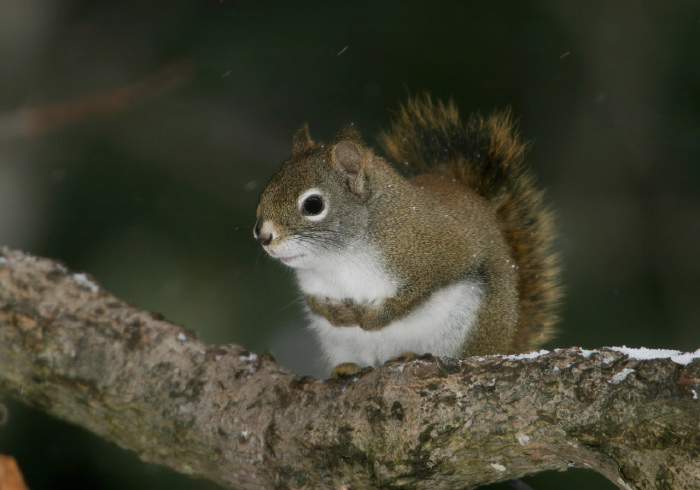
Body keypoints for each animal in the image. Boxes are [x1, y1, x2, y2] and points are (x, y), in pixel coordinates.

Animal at [254, 96, 560, 378]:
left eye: (313, 205)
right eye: (268, 187)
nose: (263, 236)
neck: (340, 257)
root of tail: (505, 344)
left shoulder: (440, 250)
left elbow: (416, 293)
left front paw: (373, 319)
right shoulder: (313, 283)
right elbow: (315, 302)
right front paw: (338, 314)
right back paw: (346, 367)